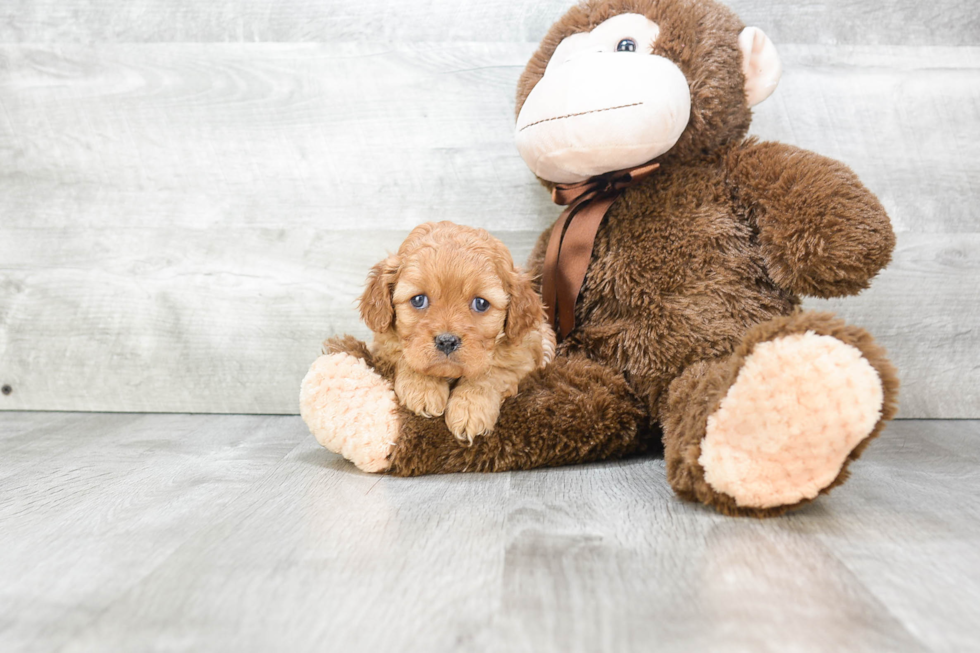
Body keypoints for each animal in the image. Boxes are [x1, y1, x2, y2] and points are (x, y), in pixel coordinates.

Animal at [360, 220, 560, 444]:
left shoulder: (523, 355)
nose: (447, 341)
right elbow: (406, 356)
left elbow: (492, 373)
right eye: (418, 300)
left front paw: (470, 409)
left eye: (481, 303)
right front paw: (423, 388)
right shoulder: (383, 345)